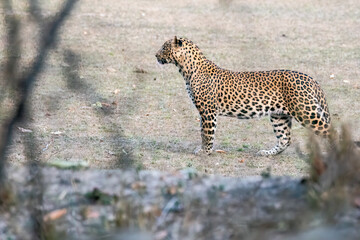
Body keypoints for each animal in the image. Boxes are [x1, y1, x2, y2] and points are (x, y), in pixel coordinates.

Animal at [156, 36, 330, 156]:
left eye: (164, 47)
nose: (155, 55)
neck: (186, 69)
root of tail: (311, 79)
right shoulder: (204, 112)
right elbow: (203, 132)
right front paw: (206, 150)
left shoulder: (208, 111)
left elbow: (207, 133)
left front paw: (205, 151)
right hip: (279, 115)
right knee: (285, 139)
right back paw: (266, 153)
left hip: (307, 112)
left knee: (330, 132)